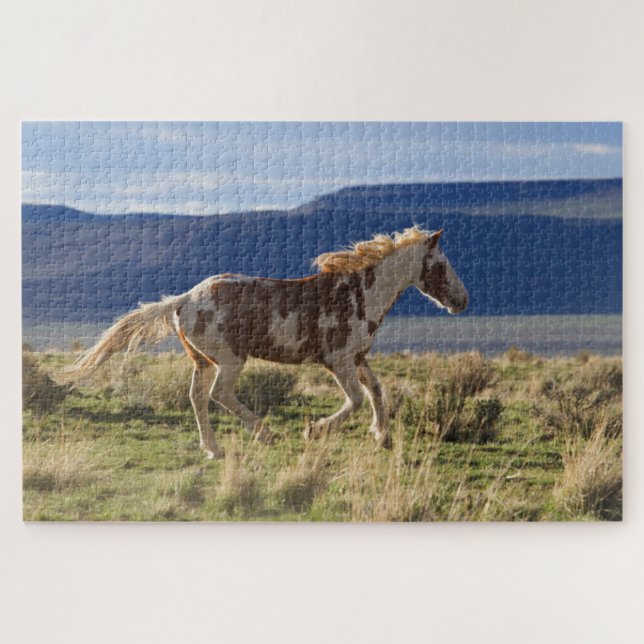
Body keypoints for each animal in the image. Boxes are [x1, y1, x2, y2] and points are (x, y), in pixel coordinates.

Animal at [61, 227, 468, 458]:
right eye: (442, 264)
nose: (462, 300)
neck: (360, 294)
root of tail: (182, 300)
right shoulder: (336, 361)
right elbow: (354, 400)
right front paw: (314, 430)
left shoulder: (357, 358)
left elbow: (377, 391)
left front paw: (381, 436)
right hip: (229, 360)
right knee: (219, 395)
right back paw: (265, 434)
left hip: (202, 361)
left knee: (197, 397)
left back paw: (212, 449)